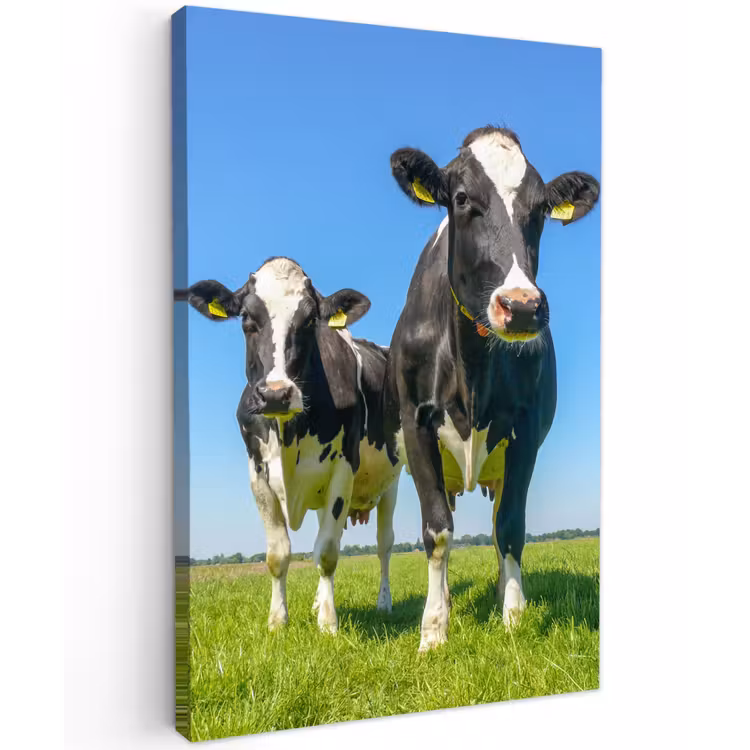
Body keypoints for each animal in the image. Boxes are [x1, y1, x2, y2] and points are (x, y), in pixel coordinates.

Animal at [175, 256, 402, 634]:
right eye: (246, 318)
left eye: (310, 320)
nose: (275, 394)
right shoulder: (258, 474)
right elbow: (279, 553)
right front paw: (278, 620)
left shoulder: (343, 468)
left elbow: (327, 551)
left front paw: (328, 623)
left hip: (393, 481)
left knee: (384, 545)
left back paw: (383, 602)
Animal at [382, 125, 600, 652]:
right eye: (461, 198)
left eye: (540, 208)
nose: (520, 307)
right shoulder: (416, 424)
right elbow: (437, 530)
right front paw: (433, 630)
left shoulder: (524, 432)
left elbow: (511, 527)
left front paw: (514, 617)